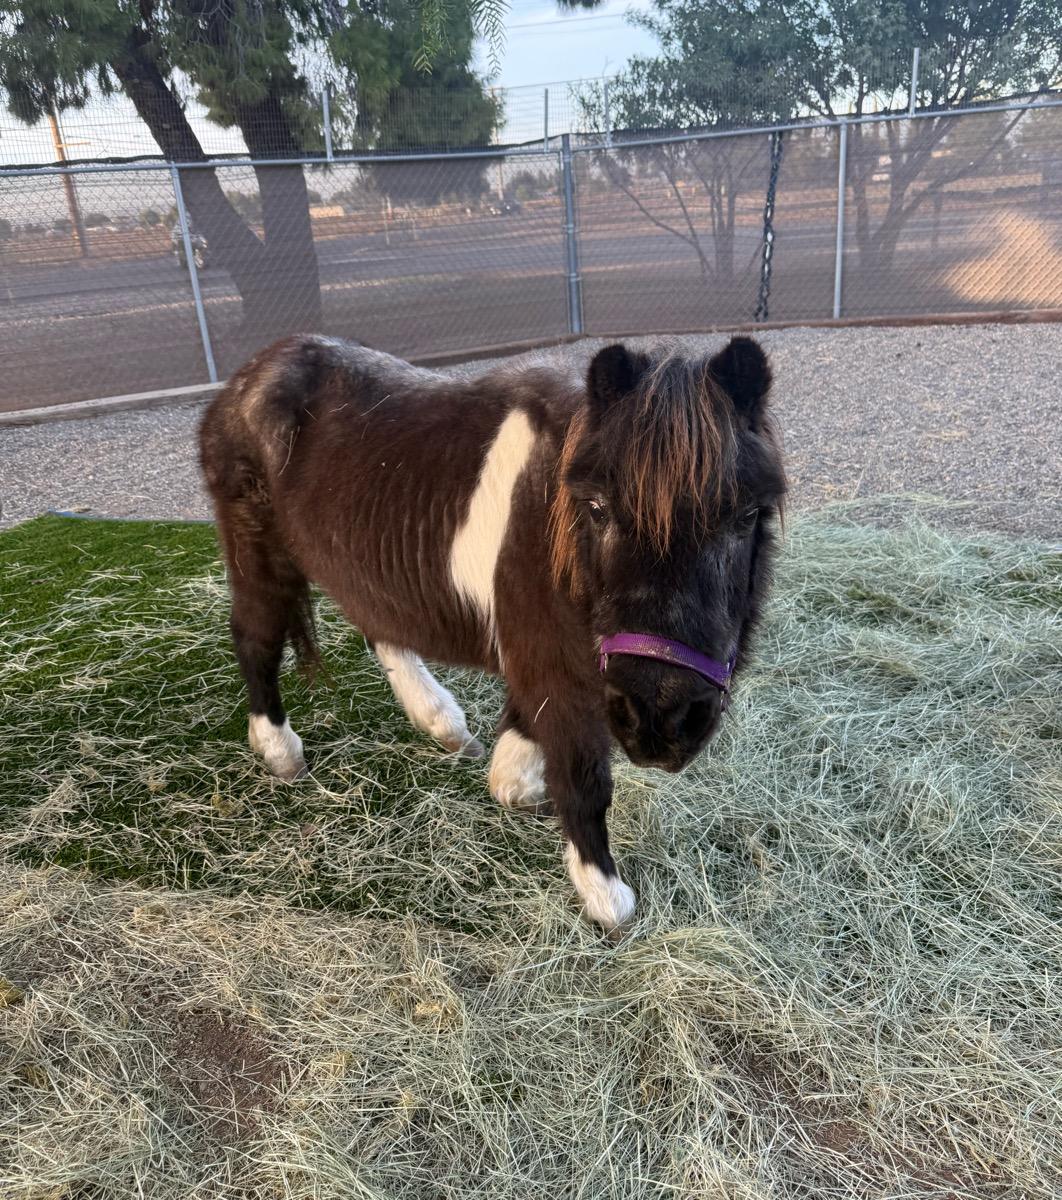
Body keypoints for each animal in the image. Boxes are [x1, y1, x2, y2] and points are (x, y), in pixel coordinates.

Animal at [198, 334, 786, 929]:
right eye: (598, 508)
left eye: (746, 515)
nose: (661, 724)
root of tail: (254, 372)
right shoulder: (558, 670)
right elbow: (584, 779)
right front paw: (606, 898)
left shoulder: (548, 661)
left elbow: (525, 735)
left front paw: (513, 781)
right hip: (259, 557)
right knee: (255, 641)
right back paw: (280, 751)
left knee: (380, 628)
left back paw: (443, 725)